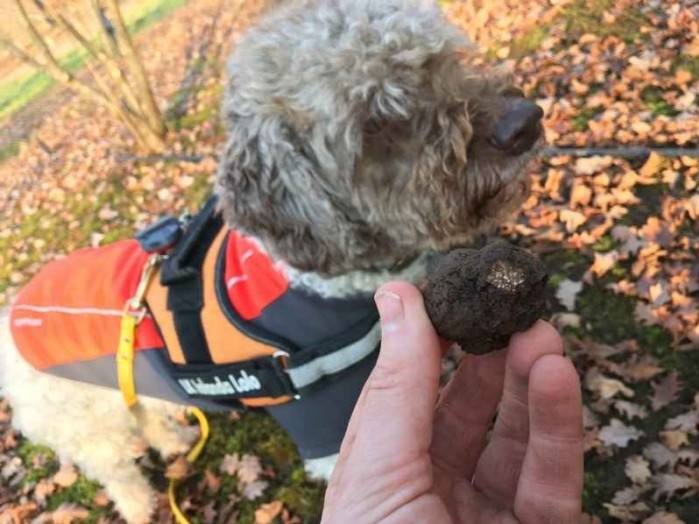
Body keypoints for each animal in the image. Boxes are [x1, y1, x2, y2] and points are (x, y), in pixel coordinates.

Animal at [0, 2, 544, 520]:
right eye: (375, 120)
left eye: (438, 57)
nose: (525, 121)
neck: (320, 280)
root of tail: (11, 316)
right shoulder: (325, 420)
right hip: (88, 429)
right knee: (116, 470)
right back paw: (139, 505)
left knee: (148, 419)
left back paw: (176, 442)